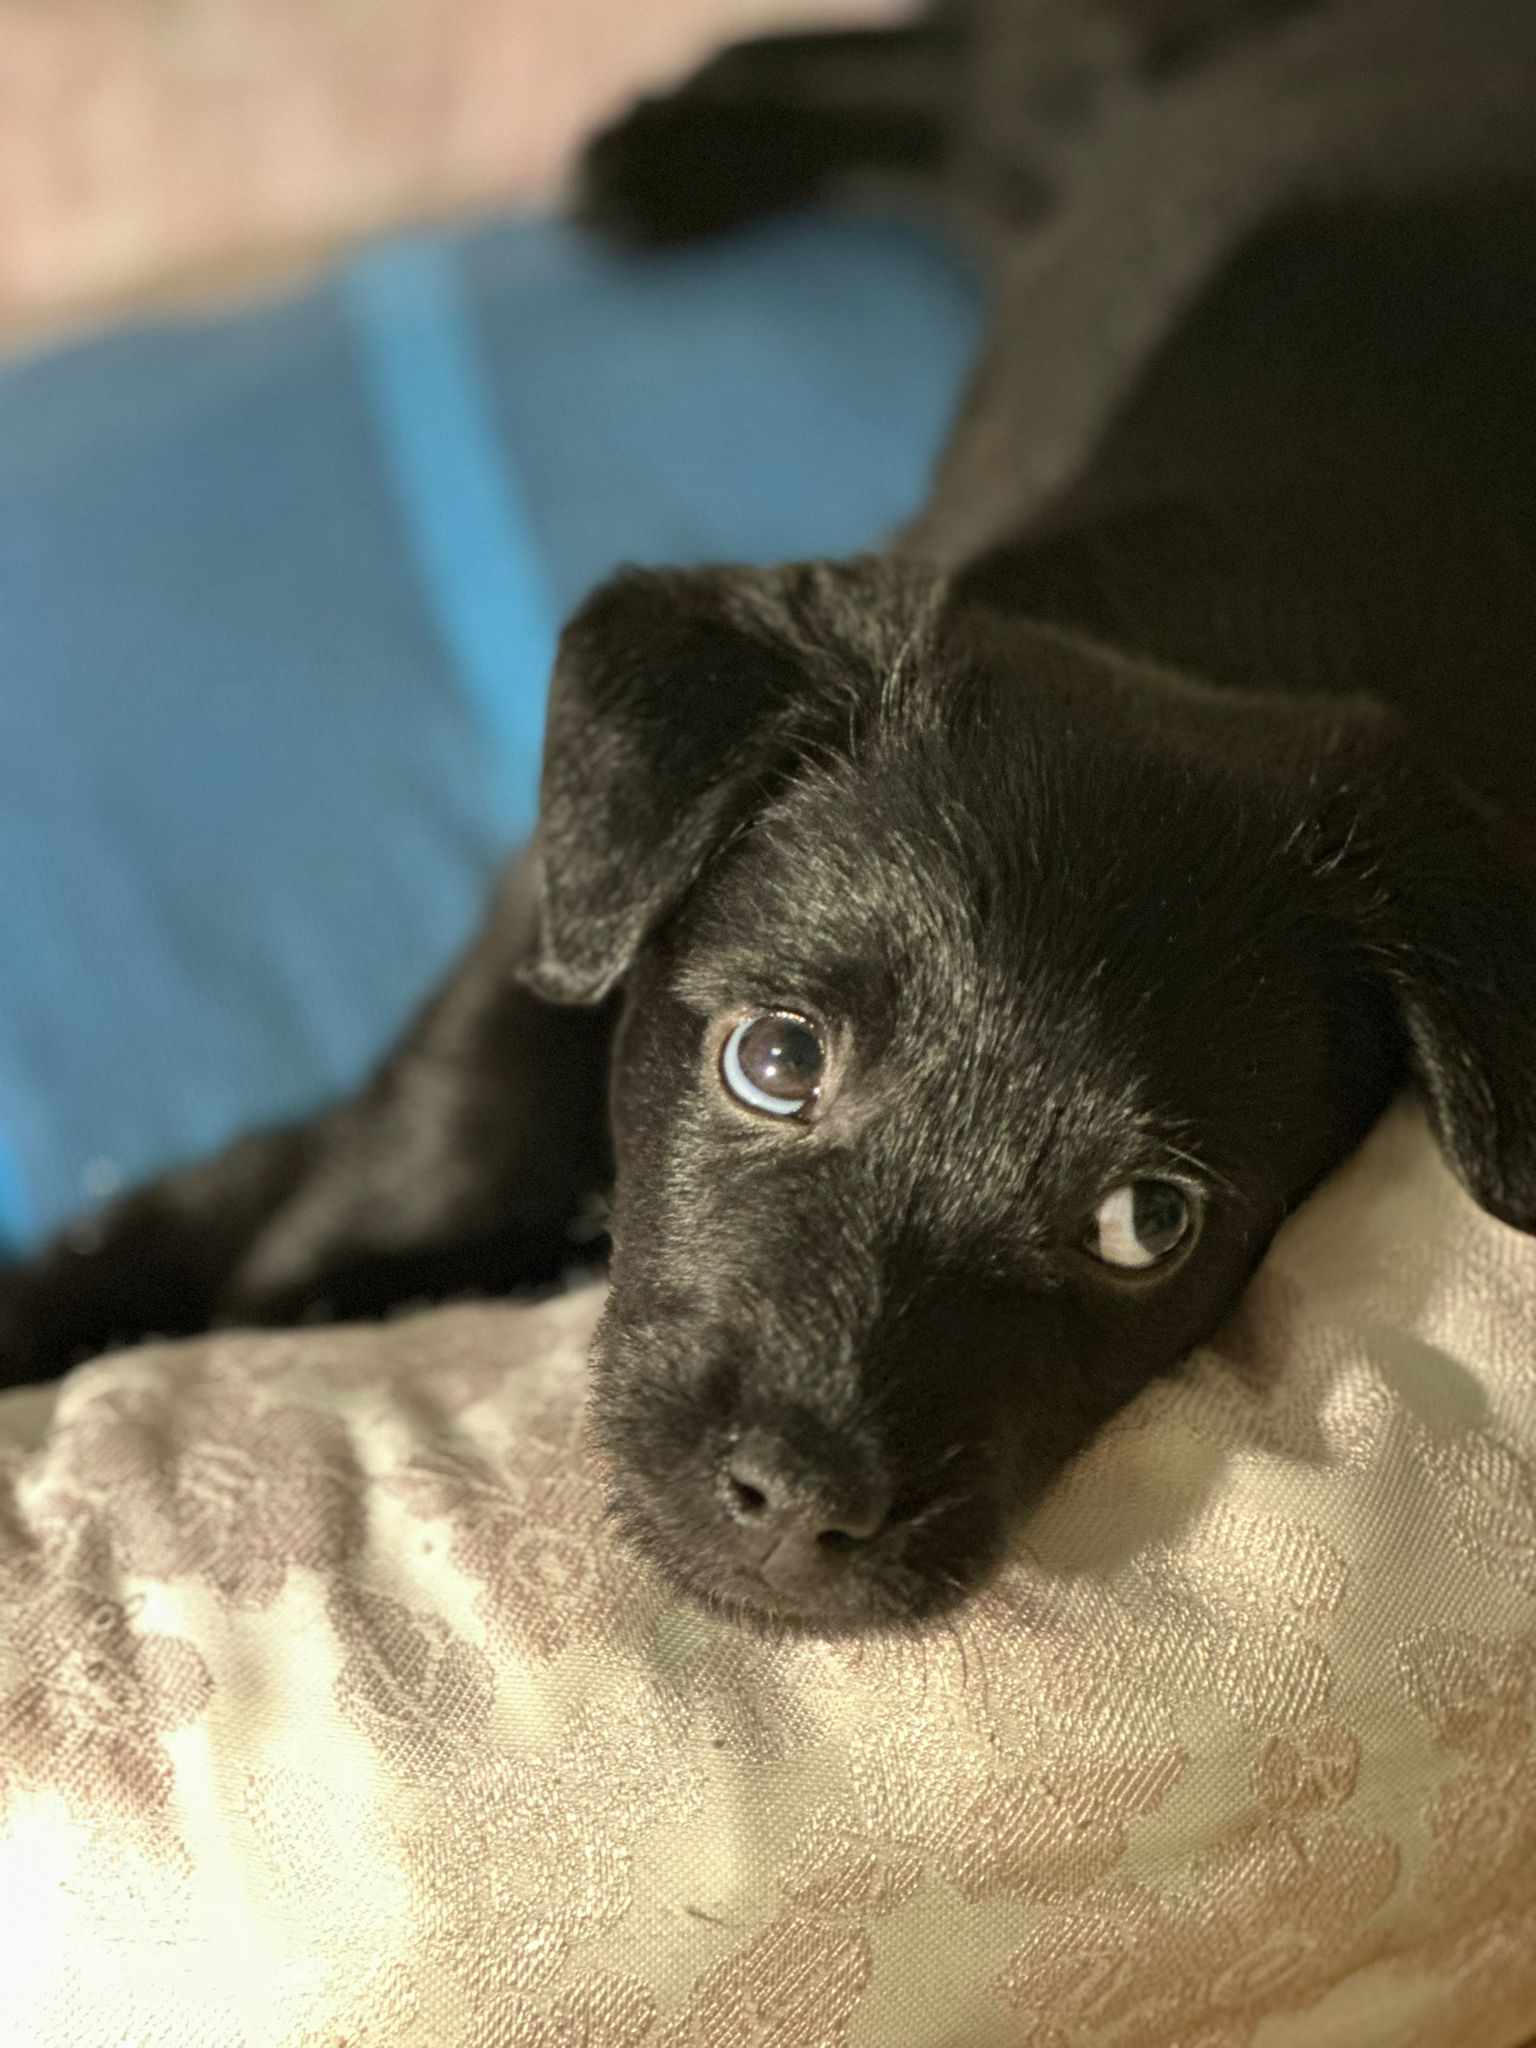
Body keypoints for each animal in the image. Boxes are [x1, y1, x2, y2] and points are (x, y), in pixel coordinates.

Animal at [3, 0, 1535, 1635]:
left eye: (1147, 1222)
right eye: (776, 1060)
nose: (797, 1507)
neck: (1195, 634)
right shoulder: (557, 883)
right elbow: (432, 1103)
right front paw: (303, 1283)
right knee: (961, 53)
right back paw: (666, 147)